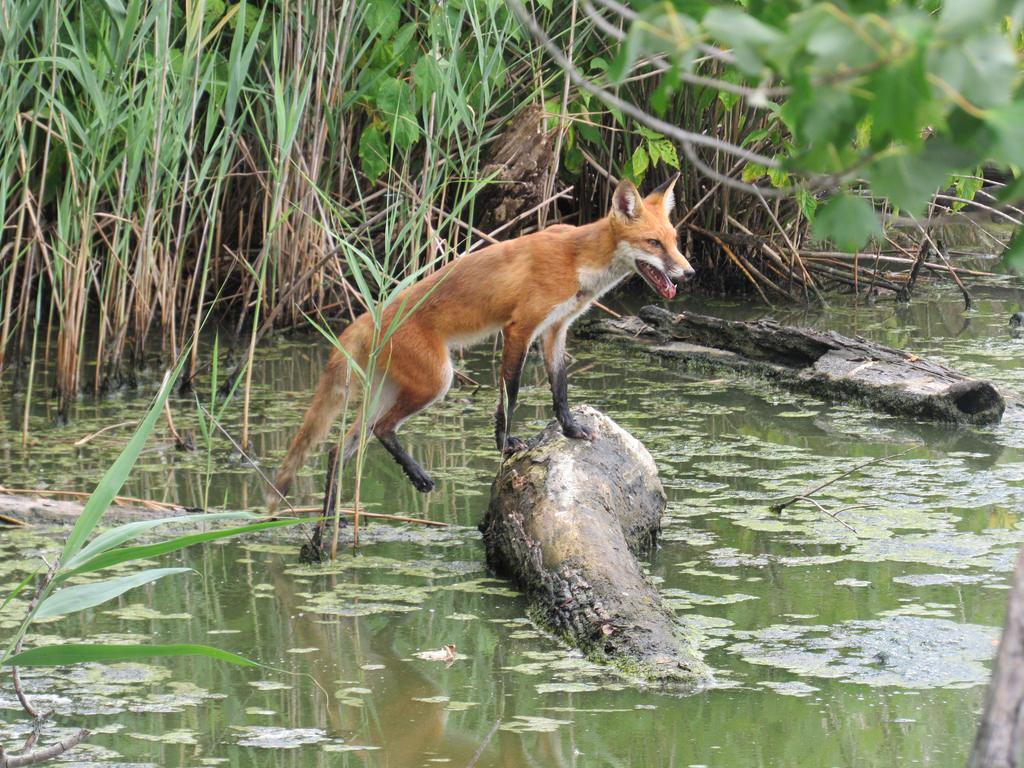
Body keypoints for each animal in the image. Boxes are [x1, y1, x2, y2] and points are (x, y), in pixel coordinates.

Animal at [266, 177, 696, 507]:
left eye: (675, 241)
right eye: (654, 243)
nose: (690, 273)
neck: (578, 260)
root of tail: (366, 317)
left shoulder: (556, 329)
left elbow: (559, 388)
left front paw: (572, 430)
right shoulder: (519, 328)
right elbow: (510, 395)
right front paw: (505, 445)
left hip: (388, 391)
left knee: (339, 448)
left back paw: (329, 524)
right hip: (437, 381)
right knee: (381, 430)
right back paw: (414, 479)